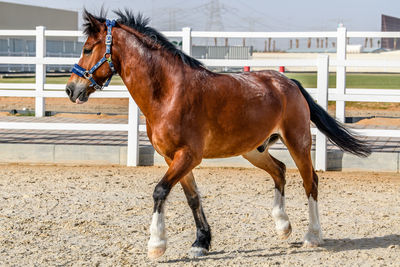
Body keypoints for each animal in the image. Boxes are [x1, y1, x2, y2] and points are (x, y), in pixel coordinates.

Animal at [65, 9, 368, 260]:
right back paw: (283, 226)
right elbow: (192, 197)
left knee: (310, 181)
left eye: (87, 48)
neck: (169, 92)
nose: (71, 89)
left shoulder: (188, 156)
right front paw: (201, 243)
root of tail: (288, 82)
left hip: (298, 142)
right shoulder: (173, 158)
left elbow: (160, 191)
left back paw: (313, 235)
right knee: (280, 171)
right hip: (253, 150)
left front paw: (156, 245)